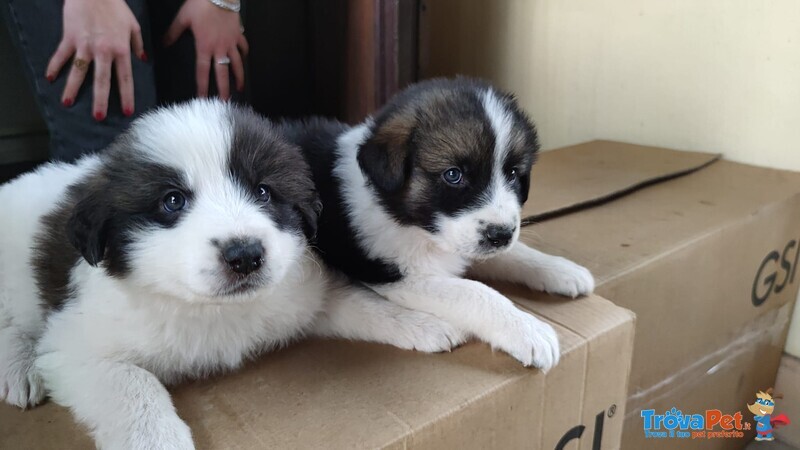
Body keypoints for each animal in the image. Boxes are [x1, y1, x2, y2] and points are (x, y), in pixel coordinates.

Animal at [0, 100, 460, 448]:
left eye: (264, 192)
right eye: (172, 201)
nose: (245, 255)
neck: (212, 309)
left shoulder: (300, 293)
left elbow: (365, 305)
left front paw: (424, 324)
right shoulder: (75, 348)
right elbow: (134, 385)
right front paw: (158, 441)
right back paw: (19, 370)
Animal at [284, 78, 596, 372]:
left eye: (512, 173)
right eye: (453, 175)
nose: (501, 235)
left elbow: (515, 254)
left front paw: (562, 270)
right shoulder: (396, 274)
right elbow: (474, 292)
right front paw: (529, 331)